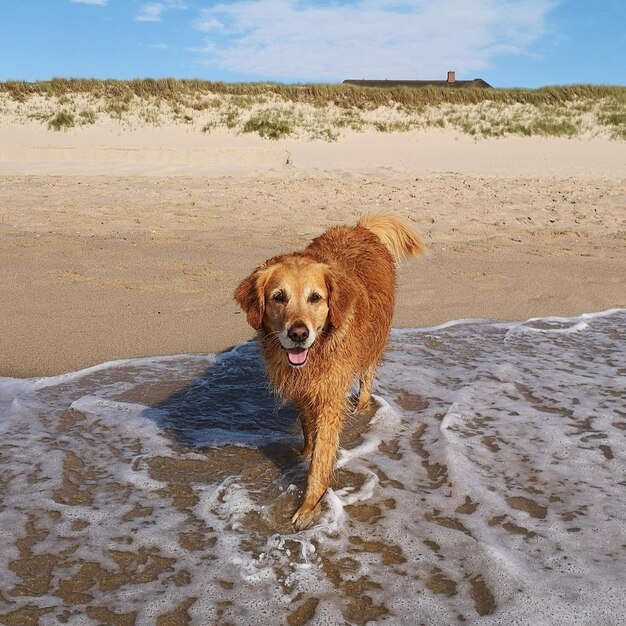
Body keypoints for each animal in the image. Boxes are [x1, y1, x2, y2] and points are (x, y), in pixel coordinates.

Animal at [234, 213, 424, 528]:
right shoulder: (302, 390)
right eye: (278, 297)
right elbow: (308, 430)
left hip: (374, 342)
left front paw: (308, 507)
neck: (316, 354)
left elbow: (322, 457)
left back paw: (363, 404)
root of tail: (359, 228)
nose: (298, 333)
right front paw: (304, 454)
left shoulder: (330, 398)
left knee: (367, 375)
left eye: (315, 298)